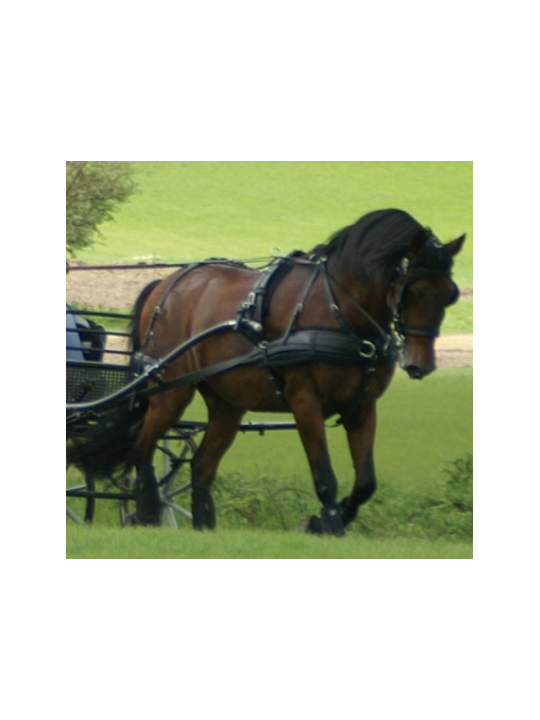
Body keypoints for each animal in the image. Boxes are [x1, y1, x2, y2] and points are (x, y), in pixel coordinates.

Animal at [68, 208, 465, 535]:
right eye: (413, 291)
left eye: (450, 294)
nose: (421, 364)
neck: (338, 309)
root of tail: (166, 284)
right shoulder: (305, 401)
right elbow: (324, 475)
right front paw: (328, 524)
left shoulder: (362, 408)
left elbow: (366, 482)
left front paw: (326, 519)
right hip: (169, 390)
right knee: (143, 445)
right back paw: (149, 511)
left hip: (227, 404)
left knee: (200, 465)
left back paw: (203, 525)